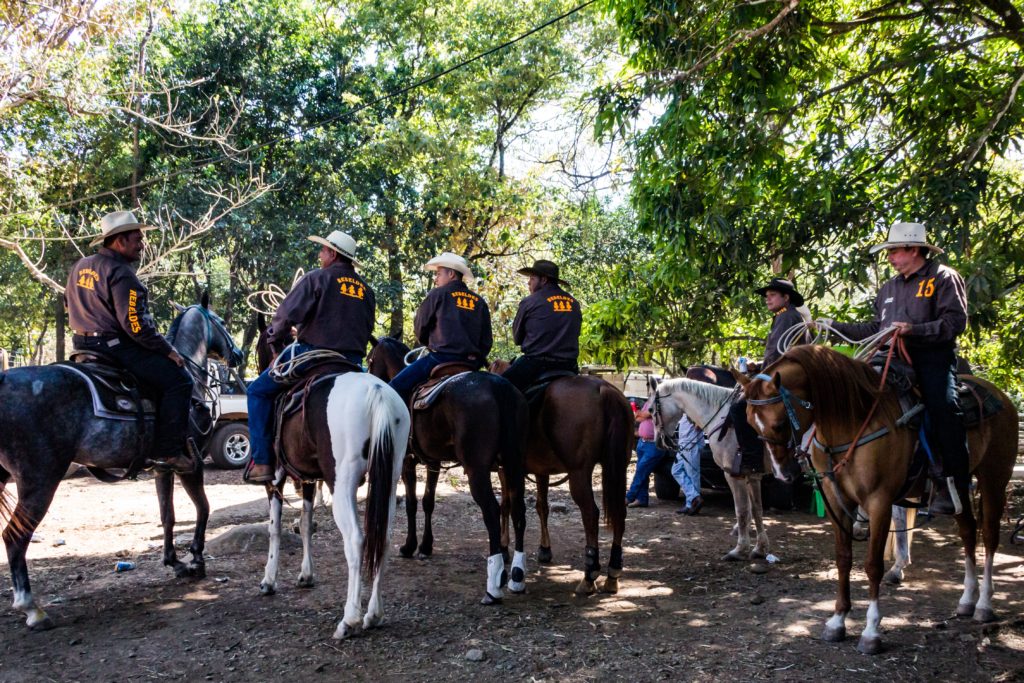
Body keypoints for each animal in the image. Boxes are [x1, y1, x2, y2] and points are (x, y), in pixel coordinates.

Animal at [0, 294, 241, 630]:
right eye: (219, 321)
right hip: (40, 480)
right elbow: (203, 507)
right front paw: (196, 559)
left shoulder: (163, 467)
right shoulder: (191, 464)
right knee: (14, 536)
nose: (239, 354)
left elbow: (167, 515)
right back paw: (32, 608)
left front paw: (175, 562)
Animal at [251, 333, 411, 638]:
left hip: (343, 483)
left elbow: (274, 528)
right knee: (382, 538)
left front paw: (268, 579)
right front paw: (306, 574)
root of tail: (377, 392)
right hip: (390, 479)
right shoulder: (307, 478)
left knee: (356, 540)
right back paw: (373, 614)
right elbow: (305, 523)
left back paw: (350, 619)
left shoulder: (276, 478)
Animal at [487, 360, 630, 593]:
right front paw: (545, 549)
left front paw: (504, 547)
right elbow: (542, 506)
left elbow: (506, 505)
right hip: (619, 467)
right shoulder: (541, 470)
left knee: (591, 514)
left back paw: (589, 576)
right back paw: (612, 574)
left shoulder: (506, 470)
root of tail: (604, 389)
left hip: (579, 473)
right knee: (620, 512)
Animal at [647, 374, 770, 561]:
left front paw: (740, 550)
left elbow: (742, 510)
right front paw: (760, 548)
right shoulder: (753, 475)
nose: (659, 442)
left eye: (650, 409)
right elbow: (756, 509)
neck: (722, 417)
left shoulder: (734, 474)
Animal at [741, 344, 1019, 655]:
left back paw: (984, 604)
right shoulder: (838, 502)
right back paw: (967, 600)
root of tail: (1000, 397)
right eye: (751, 424)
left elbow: (873, 565)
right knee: (969, 532)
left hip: (994, 478)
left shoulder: (879, 502)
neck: (852, 421)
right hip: (959, 484)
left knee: (990, 537)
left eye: (778, 424)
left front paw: (871, 631)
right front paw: (837, 621)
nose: (783, 474)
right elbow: (843, 559)